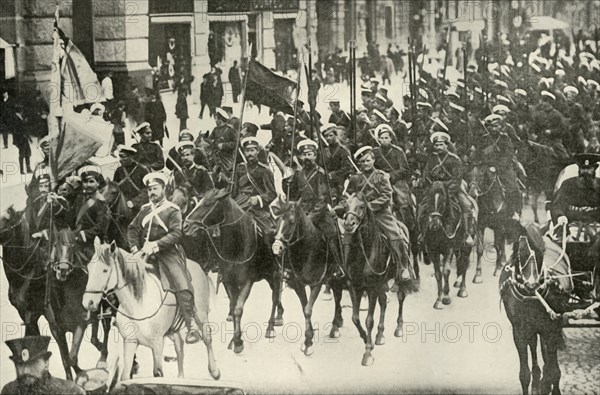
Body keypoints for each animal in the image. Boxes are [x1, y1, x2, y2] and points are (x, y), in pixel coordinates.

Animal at [81, 243, 219, 382]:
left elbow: (158, 373)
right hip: (173, 329)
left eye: (105, 270)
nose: (88, 302)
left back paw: (214, 371)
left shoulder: (157, 343)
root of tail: (199, 267)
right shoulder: (130, 342)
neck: (137, 305)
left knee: (207, 338)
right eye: (89, 268)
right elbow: (125, 375)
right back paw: (180, 377)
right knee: (179, 346)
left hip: (201, 314)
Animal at [182, 189, 284, 356]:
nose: (185, 225)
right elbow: (233, 303)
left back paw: (270, 327)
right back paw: (279, 315)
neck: (237, 247)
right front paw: (234, 339)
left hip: (274, 273)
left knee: (275, 297)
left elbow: (238, 309)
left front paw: (237, 342)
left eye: (208, 203)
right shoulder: (228, 281)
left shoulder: (247, 282)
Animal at [342, 193, 418, 366]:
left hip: (397, 279)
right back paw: (380, 335)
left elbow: (369, 319)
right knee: (383, 302)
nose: (349, 224)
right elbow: (355, 318)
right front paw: (366, 339)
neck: (364, 250)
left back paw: (398, 327)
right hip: (382, 283)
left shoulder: (371, 288)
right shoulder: (354, 286)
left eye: (362, 206)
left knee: (400, 297)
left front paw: (368, 353)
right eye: (346, 205)